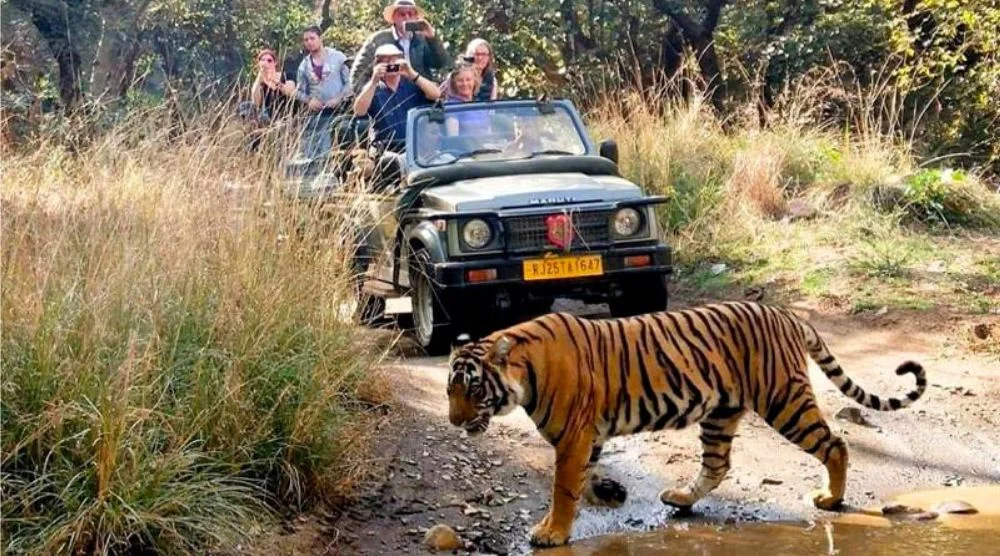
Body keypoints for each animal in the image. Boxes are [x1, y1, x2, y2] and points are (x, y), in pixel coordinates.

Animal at [446, 301, 926, 547]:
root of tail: (785, 314)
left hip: (783, 400)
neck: (524, 374)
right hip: (721, 413)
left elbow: (563, 488)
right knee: (717, 465)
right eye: (449, 391)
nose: (453, 421)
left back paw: (831, 498)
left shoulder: (575, 436)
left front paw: (552, 532)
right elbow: (582, 478)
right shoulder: (588, 437)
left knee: (835, 443)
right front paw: (604, 496)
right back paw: (679, 498)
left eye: (473, 389)